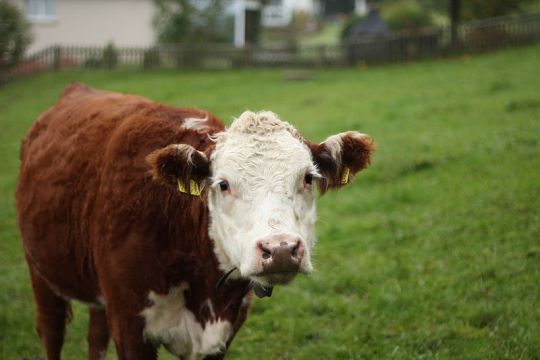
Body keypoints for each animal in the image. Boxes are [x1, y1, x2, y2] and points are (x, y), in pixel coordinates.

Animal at [14, 82, 374, 360]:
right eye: (223, 184)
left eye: (308, 178)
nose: (281, 249)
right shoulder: (129, 326)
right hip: (40, 272)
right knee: (51, 331)